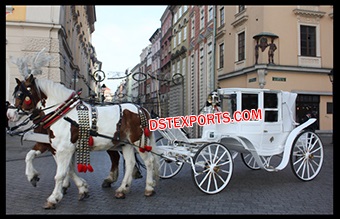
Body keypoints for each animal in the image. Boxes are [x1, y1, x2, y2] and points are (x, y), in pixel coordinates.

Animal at [10, 74, 159, 210]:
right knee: (130, 163)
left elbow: (60, 174)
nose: (10, 115)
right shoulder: (56, 147)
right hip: (126, 143)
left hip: (138, 142)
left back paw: (149, 188)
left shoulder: (64, 149)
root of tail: (141, 109)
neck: (62, 115)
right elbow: (61, 167)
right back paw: (122, 189)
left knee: (149, 161)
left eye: (20, 94)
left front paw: (53, 198)